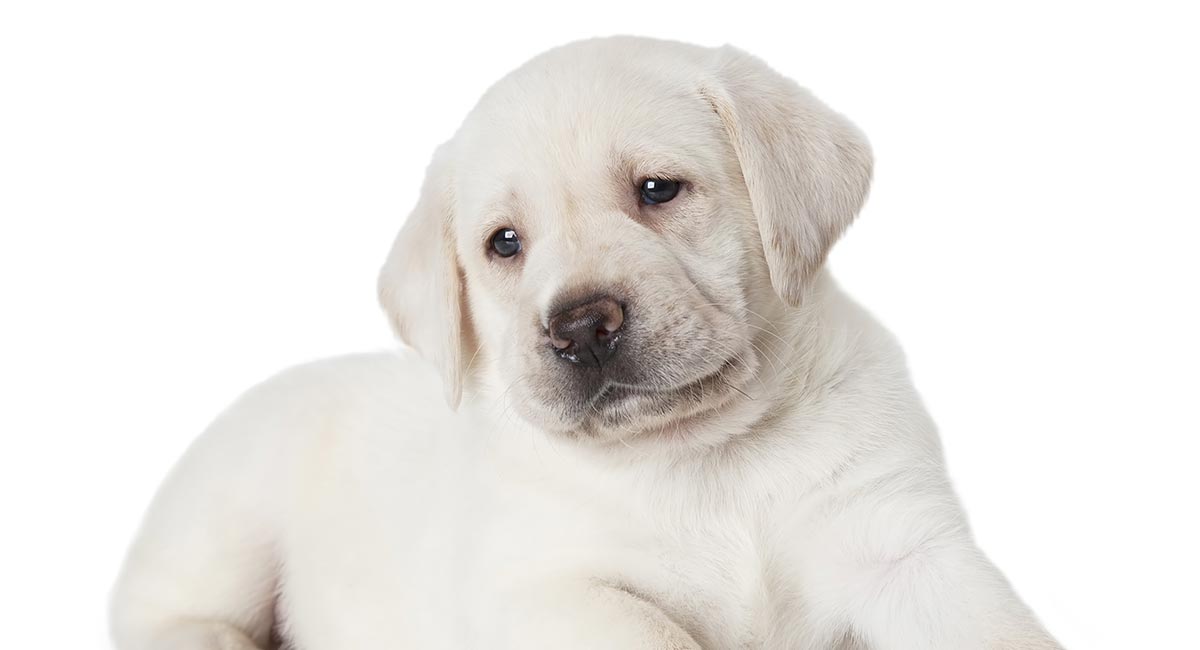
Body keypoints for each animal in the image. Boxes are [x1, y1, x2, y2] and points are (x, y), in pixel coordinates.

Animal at [112, 36, 1065, 650]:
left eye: (658, 190)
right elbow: (652, 628)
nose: (580, 326)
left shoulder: (904, 549)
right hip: (227, 509)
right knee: (152, 607)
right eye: (504, 243)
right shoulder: (548, 590)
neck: (705, 459)